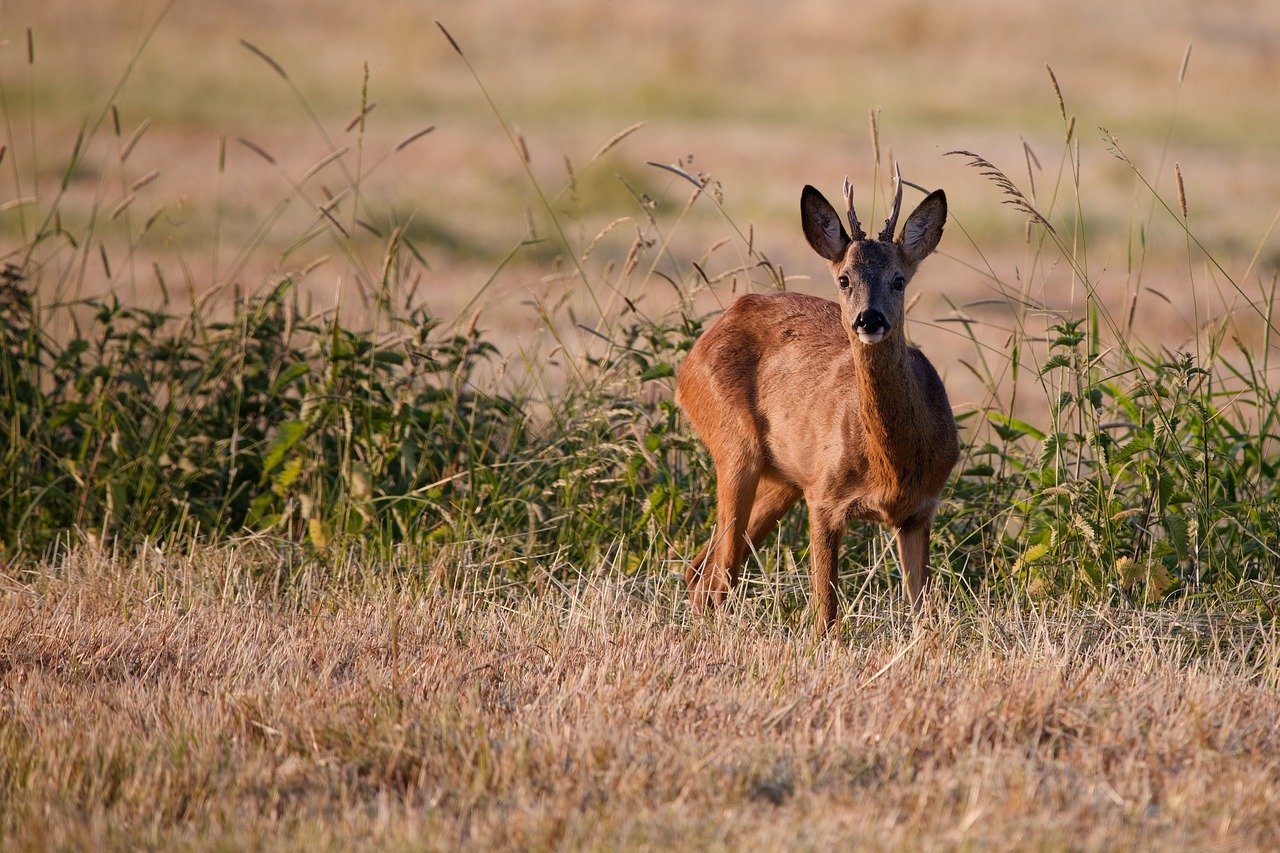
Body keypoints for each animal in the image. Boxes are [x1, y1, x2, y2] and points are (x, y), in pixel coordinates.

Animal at [675, 167, 957, 630]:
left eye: (899, 280)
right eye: (844, 279)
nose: (869, 319)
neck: (892, 464)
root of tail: (691, 357)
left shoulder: (921, 508)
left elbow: (924, 612)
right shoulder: (824, 496)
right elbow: (825, 610)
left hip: (782, 479)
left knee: (701, 569)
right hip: (734, 446)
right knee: (719, 575)